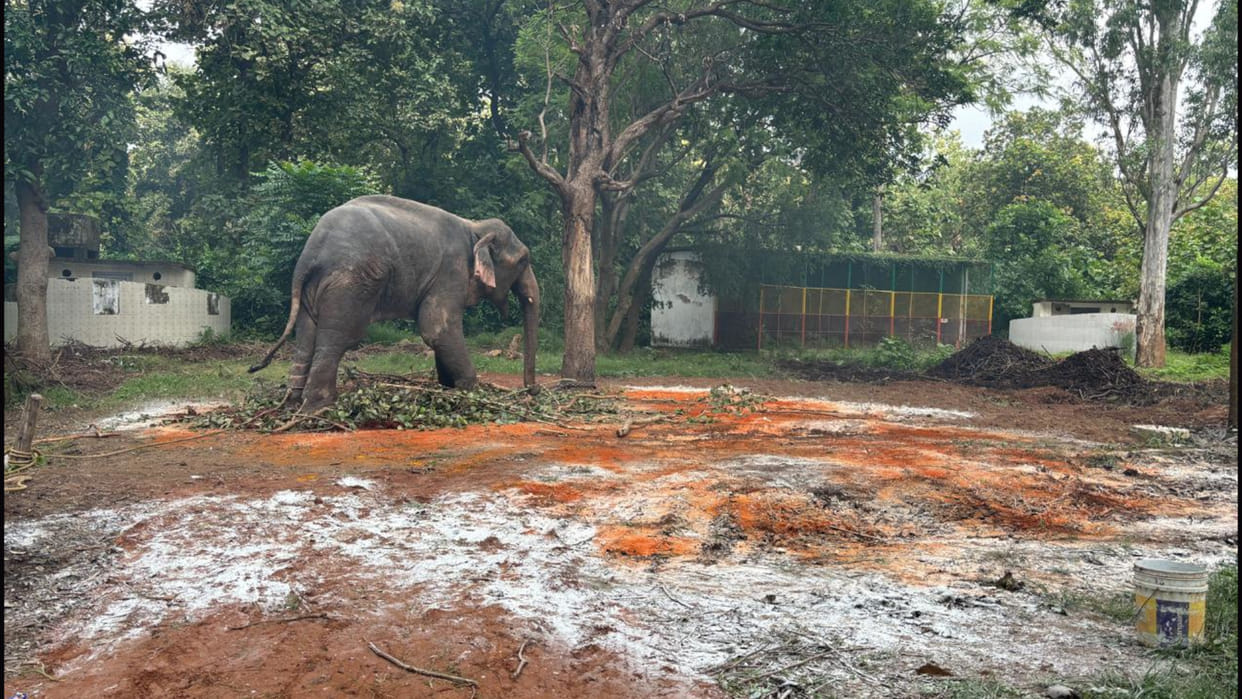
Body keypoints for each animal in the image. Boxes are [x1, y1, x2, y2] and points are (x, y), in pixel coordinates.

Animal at [249, 195, 540, 412]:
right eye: (523, 260)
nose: (533, 391)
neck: (475, 228)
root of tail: (309, 253)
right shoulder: (451, 271)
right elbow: (437, 328)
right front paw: (471, 392)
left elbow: (438, 332)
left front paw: (447, 388)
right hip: (351, 283)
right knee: (338, 337)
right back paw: (321, 407)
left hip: (314, 287)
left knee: (307, 335)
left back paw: (293, 404)